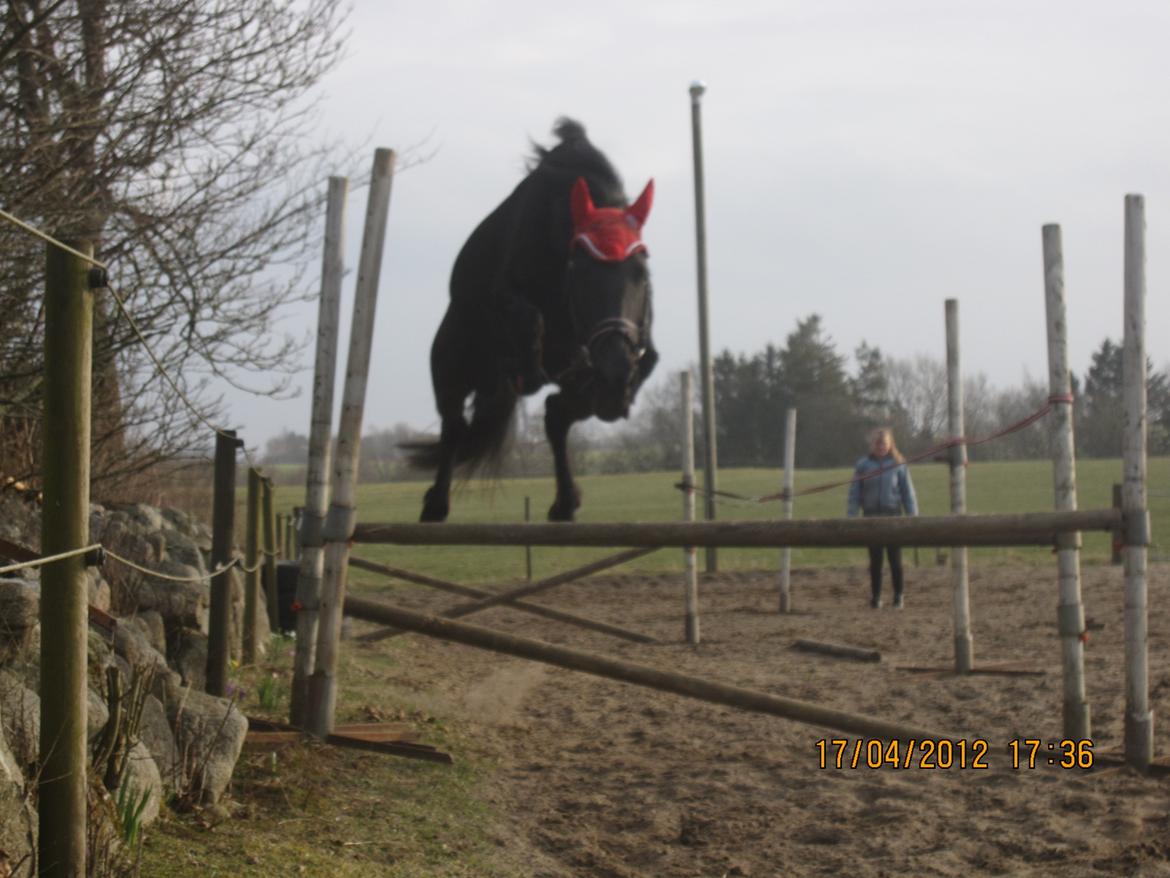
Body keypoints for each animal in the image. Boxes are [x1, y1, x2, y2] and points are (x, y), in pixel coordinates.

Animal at [407, 117, 655, 522]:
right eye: (579, 272)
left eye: (641, 272)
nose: (615, 374)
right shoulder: (507, 292)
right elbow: (529, 316)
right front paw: (532, 366)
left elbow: (572, 404)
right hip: (450, 361)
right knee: (454, 425)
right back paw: (435, 504)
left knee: (549, 417)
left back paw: (565, 501)